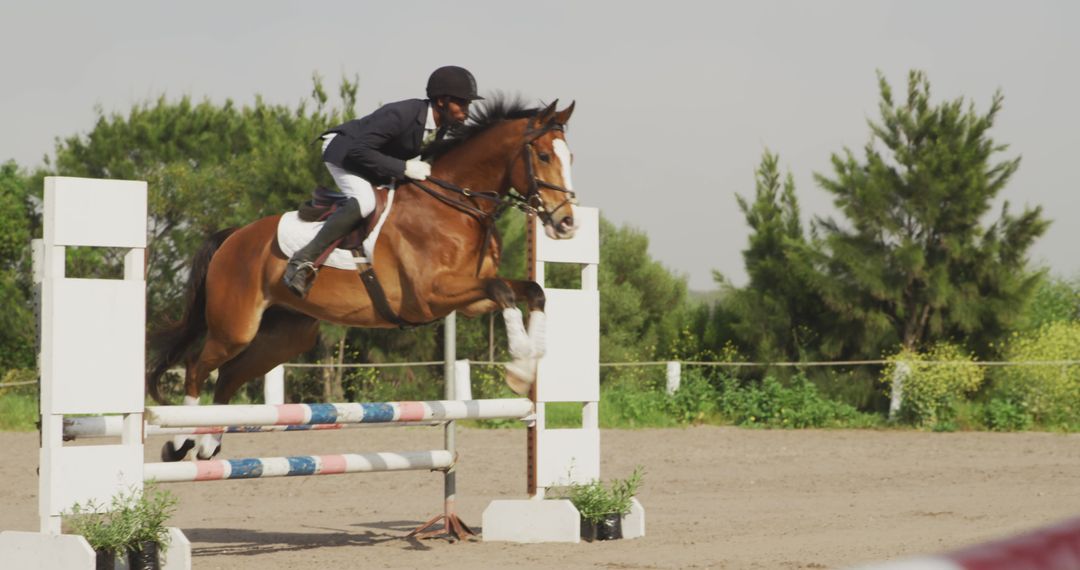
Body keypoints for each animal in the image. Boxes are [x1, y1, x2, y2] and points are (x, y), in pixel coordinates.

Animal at [150, 98, 583, 459]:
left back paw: (207, 444)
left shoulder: (471, 300)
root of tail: (232, 237)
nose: (566, 224)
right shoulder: (431, 295)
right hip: (235, 328)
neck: (455, 206)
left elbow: (533, 291)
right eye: (544, 155)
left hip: (284, 336)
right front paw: (520, 367)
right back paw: (179, 442)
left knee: (227, 377)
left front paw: (530, 363)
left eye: (570, 157)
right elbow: (505, 292)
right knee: (196, 369)